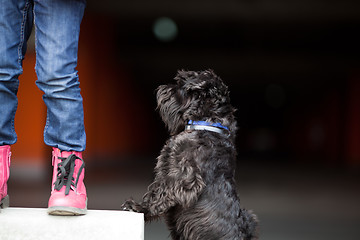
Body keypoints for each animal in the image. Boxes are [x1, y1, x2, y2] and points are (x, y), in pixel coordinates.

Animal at [122, 70, 258, 240]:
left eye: (182, 84)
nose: (162, 88)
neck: (208, 125)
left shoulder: (183, 177)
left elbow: (159, 192)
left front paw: (139, 208)